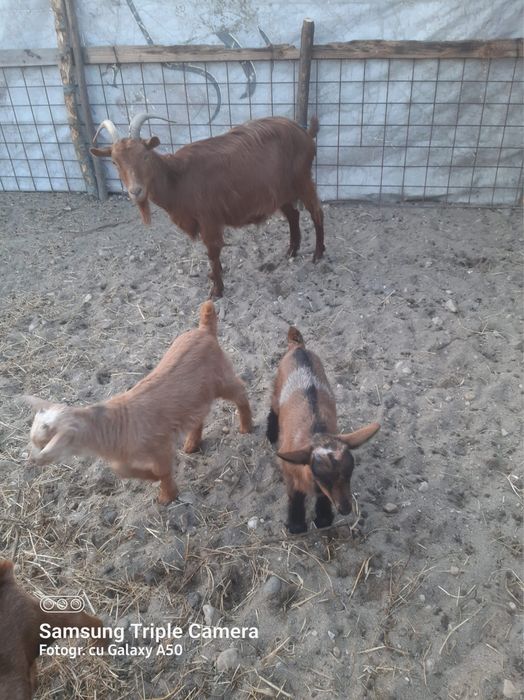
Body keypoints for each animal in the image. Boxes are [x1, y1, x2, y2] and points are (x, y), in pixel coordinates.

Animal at [25, 301, 252, 504]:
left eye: (44, 443)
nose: (31, 461)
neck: (113, 427)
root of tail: (204, 330)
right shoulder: (125, 457)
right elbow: (122, 471)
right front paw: (151, 478)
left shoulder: (159, 446)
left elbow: (162, 471)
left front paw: (166, 496)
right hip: (197, 395)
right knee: (199, 415)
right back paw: (191, 444)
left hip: (221, 378)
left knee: (241, 392)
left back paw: (246, 427)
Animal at [90, 114, 325, 297]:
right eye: (114, 162)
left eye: (145, 156)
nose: (136, 191)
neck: (178, 178)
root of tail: (304, 133)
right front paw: (217, 278)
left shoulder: (208, 219)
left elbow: (212, 252)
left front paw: (217, 290)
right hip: (280, 193)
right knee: (293, 215)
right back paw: (291, 251)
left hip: (302, 180)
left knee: (316, 212)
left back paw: (317, 255)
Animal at [267, 327, 380, 533]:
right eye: (323, 478)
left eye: (349, 474)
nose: (345, 509)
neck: (317, 434)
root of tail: (298, 347)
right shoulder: (291, 473)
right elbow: (296, 496)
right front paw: (297, 526)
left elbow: (322, 497)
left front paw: (324, 518)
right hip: (278, 387)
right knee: (273, 408)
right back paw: (271, 434)